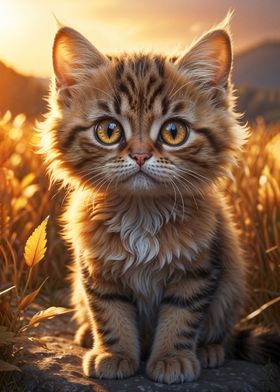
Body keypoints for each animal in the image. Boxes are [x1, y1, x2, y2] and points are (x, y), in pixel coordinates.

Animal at [40, 19, 280, 384]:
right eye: (109, 130)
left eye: (173, 132)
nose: (140, 155)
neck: (142, 213)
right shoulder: (98, 273)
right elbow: (110, 317)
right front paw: (114, 354)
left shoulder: (198, 271)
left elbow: (180, 320)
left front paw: (171, 358)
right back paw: (84, 335)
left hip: (231, 287)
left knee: (221, 331)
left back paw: (210, 350)